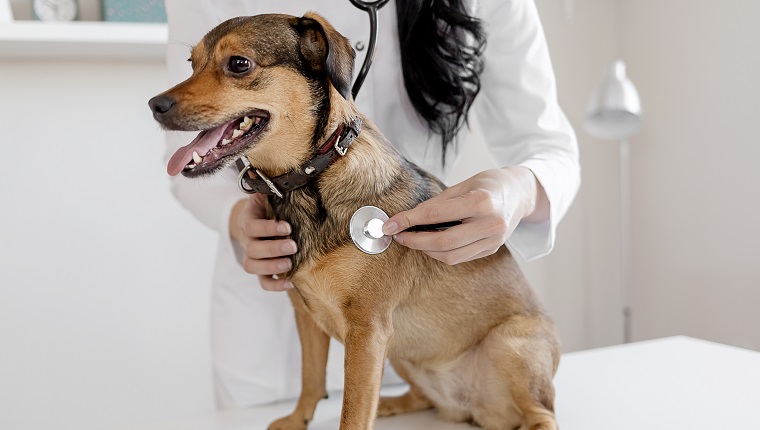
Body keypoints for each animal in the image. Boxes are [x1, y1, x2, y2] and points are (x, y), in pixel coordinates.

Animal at [150, 12, 560, 430]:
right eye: (191, 63)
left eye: (238, 64)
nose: (154, 104)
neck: (308, 181)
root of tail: (474, 410)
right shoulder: (307, 316)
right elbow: (311, 378)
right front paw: (297, 419)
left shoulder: (367, 329)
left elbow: (353, 411)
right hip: (401, 352)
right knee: (422, 398)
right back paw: (394, 405)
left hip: (508, 343)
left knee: (543, 412)